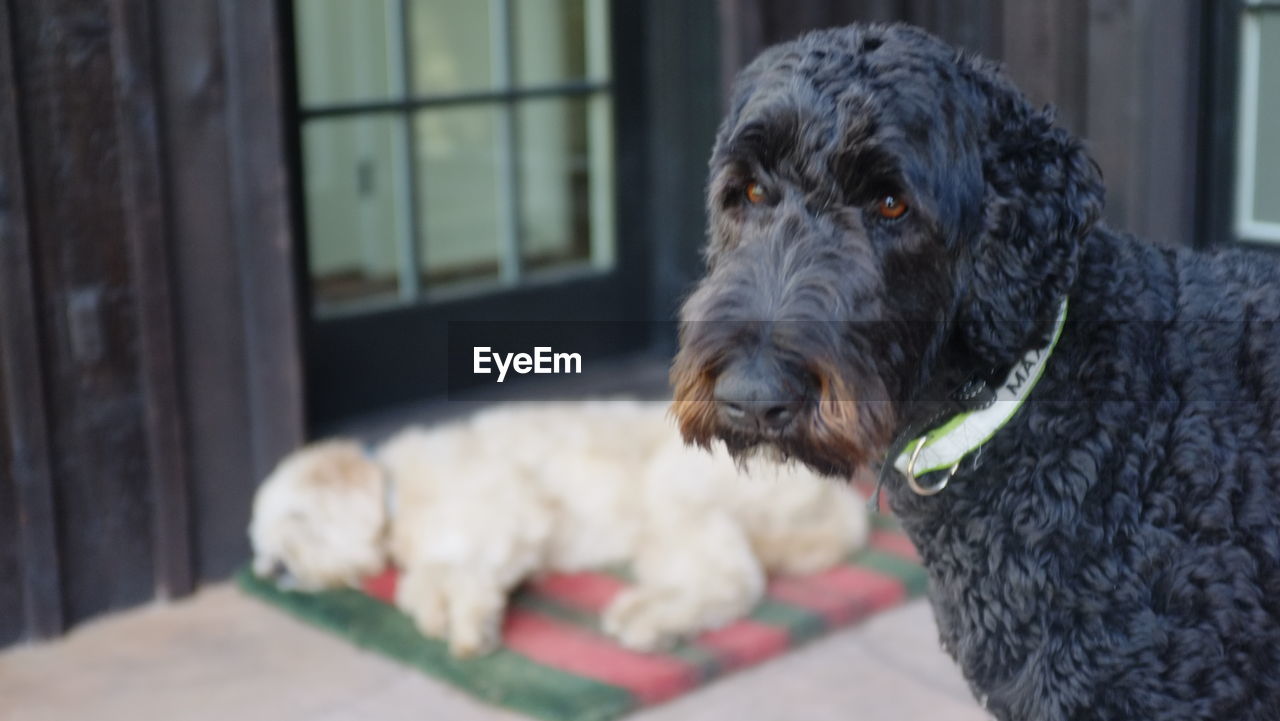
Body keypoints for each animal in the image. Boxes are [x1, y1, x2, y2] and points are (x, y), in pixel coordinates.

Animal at [247, 404, 870, 655]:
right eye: (261, 545)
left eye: (297, 520)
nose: (271, 570)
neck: (397, 493)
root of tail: (839, 501)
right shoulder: (449, 544)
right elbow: (422, 581)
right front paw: (438, 613)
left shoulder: (506, 516)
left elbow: (461, 574)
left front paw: (471, 624)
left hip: (675, 491)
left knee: (737, 580)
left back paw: (648, 621)